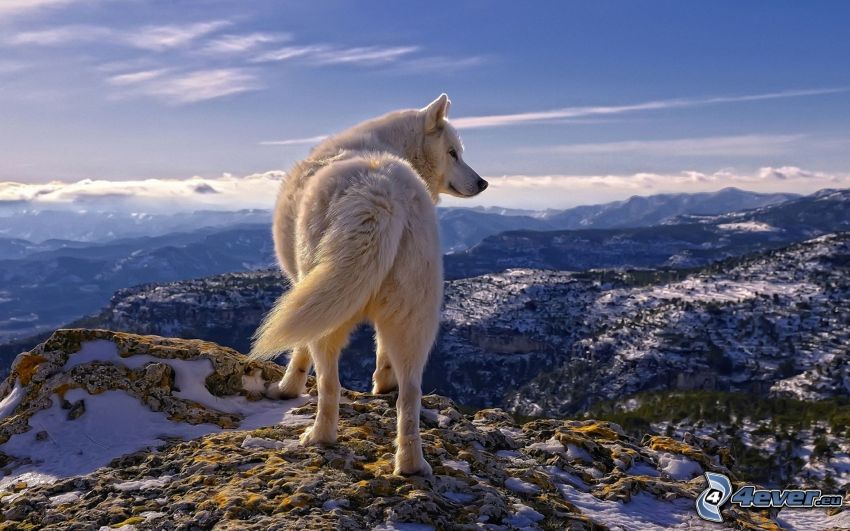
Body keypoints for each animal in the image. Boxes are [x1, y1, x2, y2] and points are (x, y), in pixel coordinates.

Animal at [250, 93, 484, 476]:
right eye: (453, 153)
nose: (483, 183)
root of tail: (381, 193)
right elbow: (381, 352)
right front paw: (383, 382)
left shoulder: (304, 286)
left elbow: (299, 352)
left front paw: (286, 389)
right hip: (414, 316)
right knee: (410, 393)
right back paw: (411, 464)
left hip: (330, 311)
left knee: (330, 383)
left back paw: (319, 437)